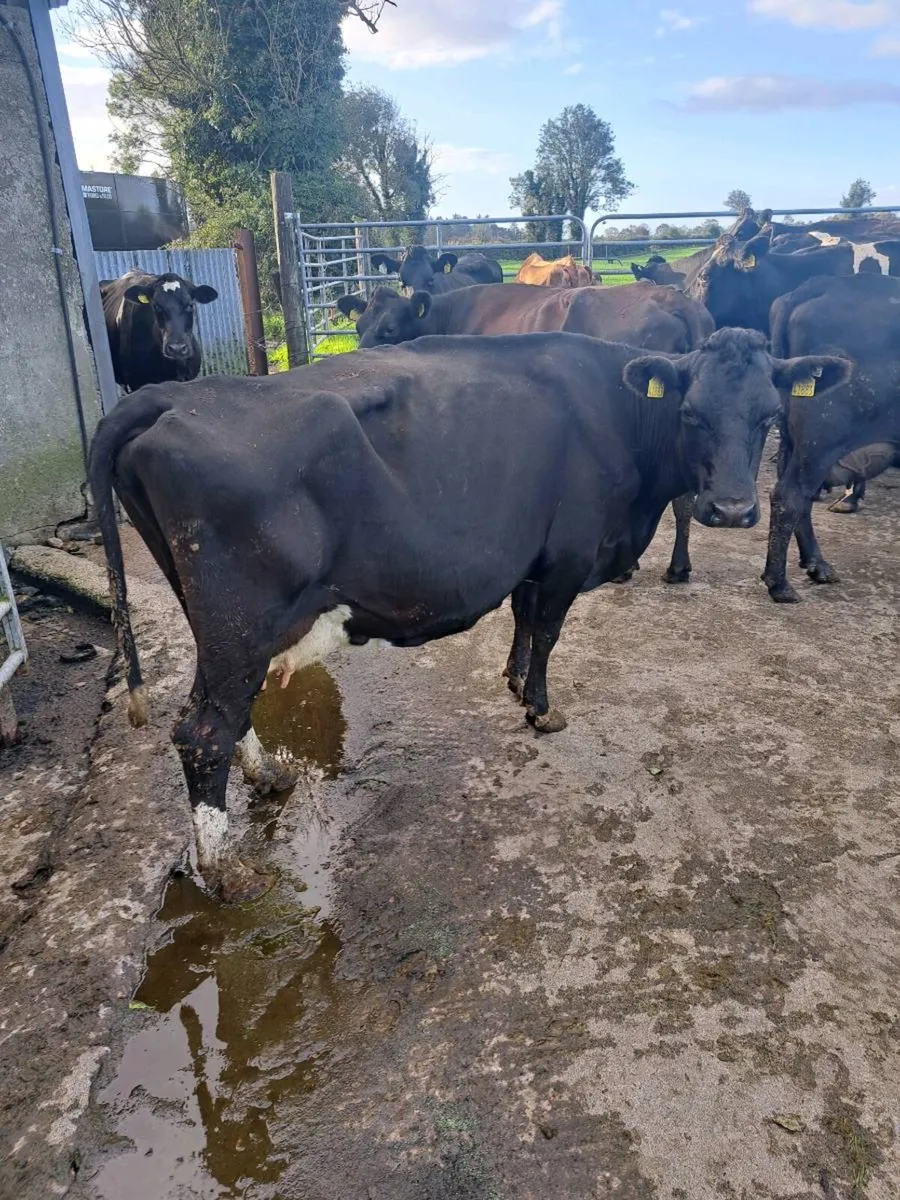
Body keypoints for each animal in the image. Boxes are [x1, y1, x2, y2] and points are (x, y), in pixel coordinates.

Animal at [89, 327, 844, 898]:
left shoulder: (531, 553)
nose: (733, 509)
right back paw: (226, 871)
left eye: (771, 416)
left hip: (216, 621)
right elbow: (548, 629)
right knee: (201, 730)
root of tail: (173, 395)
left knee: (221, 715)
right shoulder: (569, 551)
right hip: (241, 619)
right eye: (692, 414)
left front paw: (511, 680)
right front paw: (540, 707)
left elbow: (523, 615)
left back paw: (269, 775)